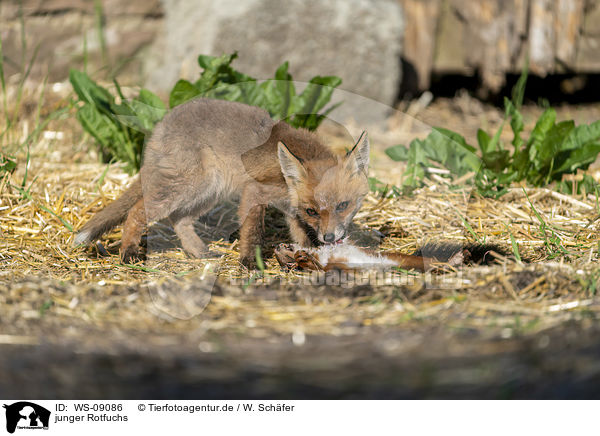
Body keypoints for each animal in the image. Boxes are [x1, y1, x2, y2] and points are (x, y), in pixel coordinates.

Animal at [75, 99, 372, 268]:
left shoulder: (291, 210)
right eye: (313, 210)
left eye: (343, 205)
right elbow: (252, 232)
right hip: (191, 187)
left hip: (208, 194)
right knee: (138, 211)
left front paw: (305, 256)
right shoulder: (255, 191)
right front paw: (249, 262)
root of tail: (160, 126)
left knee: (178, 220)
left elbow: (299, 235)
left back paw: (198, 252)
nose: (330, 238)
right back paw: (128, 252)